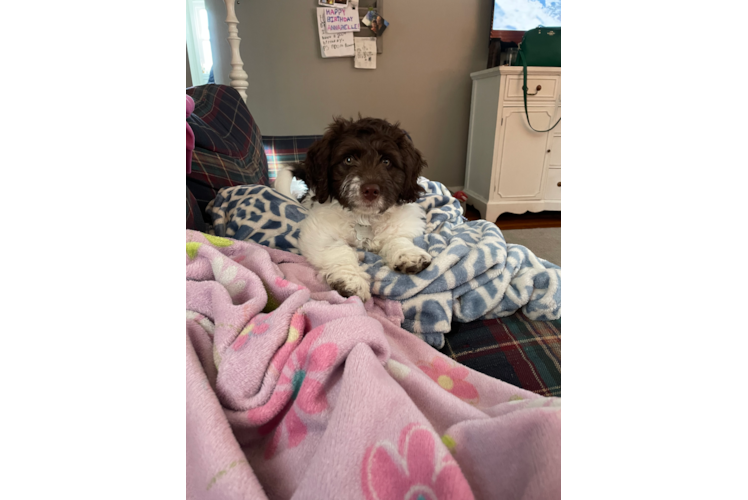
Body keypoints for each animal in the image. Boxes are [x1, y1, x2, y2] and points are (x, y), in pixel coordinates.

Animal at [274, 116, 430, 300]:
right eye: (348, 159)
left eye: (386, 161)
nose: (371, 190)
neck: (364, 219)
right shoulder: (319, 232)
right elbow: (338, 249)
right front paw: (350, 280)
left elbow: (397, 238)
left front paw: (408, 254)